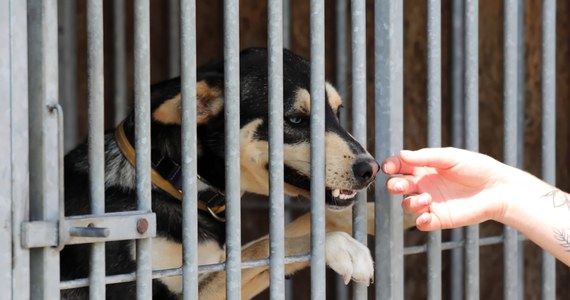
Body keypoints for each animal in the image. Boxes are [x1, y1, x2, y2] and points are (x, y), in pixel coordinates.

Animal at [62, 48, 390, 298]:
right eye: (295, 119)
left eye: (338, 111)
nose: (371, 169)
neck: (170, 181)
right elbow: (261, 250)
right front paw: (340, 245)